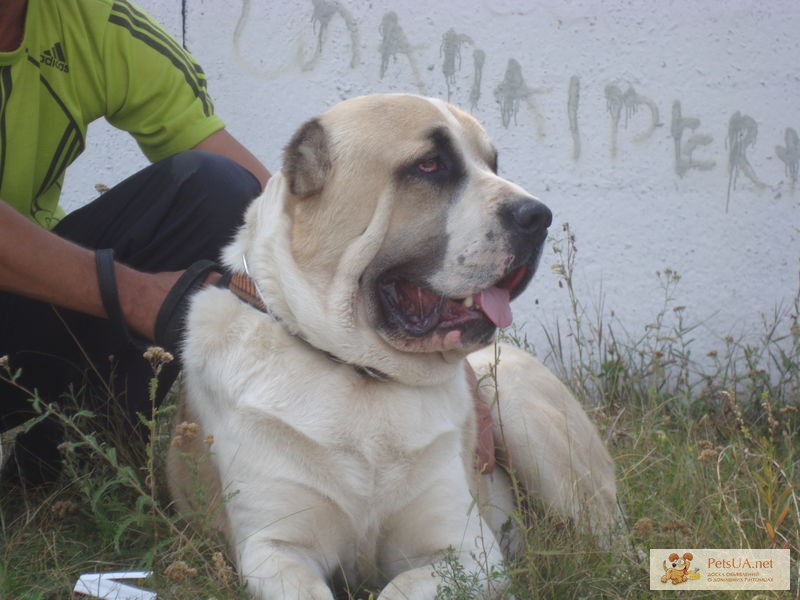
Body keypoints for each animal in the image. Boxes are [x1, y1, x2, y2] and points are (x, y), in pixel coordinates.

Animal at [169, 95, 620, 600]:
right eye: (430, 165)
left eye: (492, 164)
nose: (538, 216)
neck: (361, 373)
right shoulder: (275, 547)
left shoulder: (468, 553)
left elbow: (399, 590)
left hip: (520, 410)